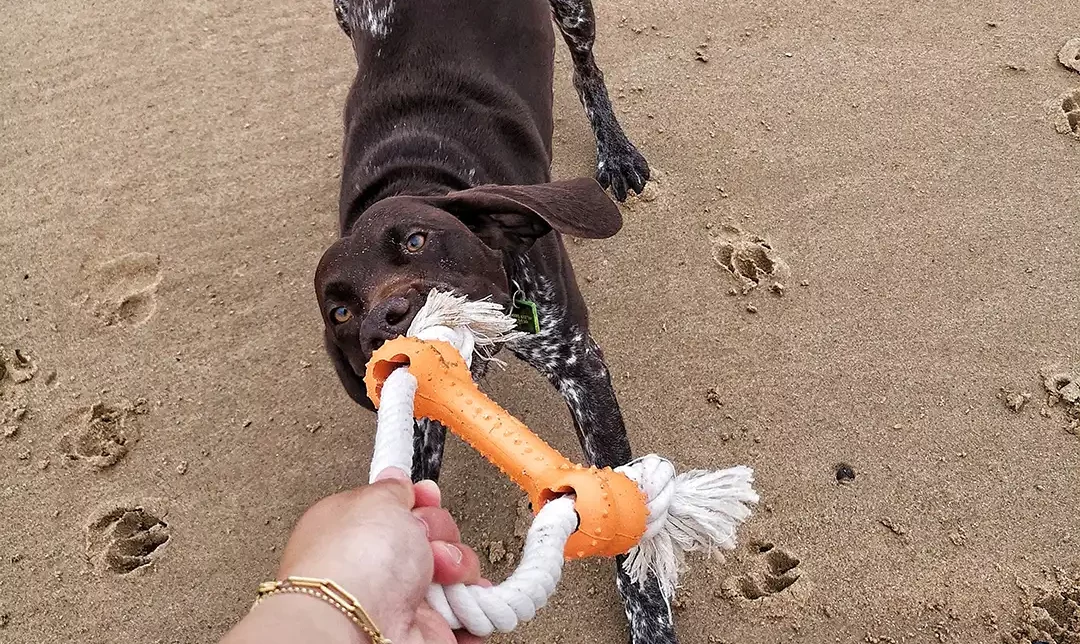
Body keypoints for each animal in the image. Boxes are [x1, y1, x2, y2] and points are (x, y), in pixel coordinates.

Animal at [315, 0, 673, 639]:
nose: (387, 322)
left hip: (575, 17)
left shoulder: (578, 364)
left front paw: (650, 619)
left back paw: (617, 151)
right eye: (339, 311)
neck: (415, 172)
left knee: (585, 70)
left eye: (416, 239)